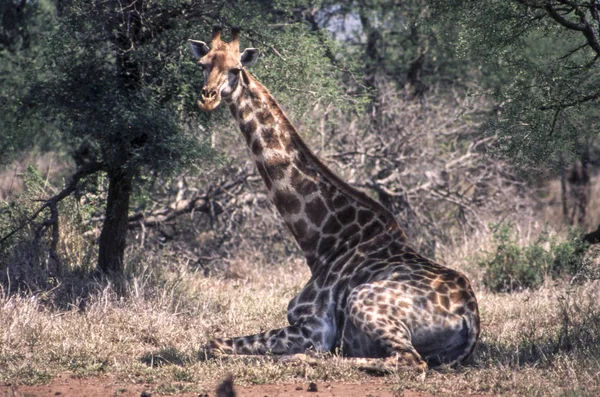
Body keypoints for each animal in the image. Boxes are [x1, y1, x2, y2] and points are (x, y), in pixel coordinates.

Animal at [190, 27, 480, 372]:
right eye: (203, 64)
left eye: (235, 69)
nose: (207, 98)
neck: (321, 242)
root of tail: (470, 317)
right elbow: (213, 343)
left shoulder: (313, 327)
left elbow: (212, 345)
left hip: (363, 299)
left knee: (408, 360)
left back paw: (301, 358)